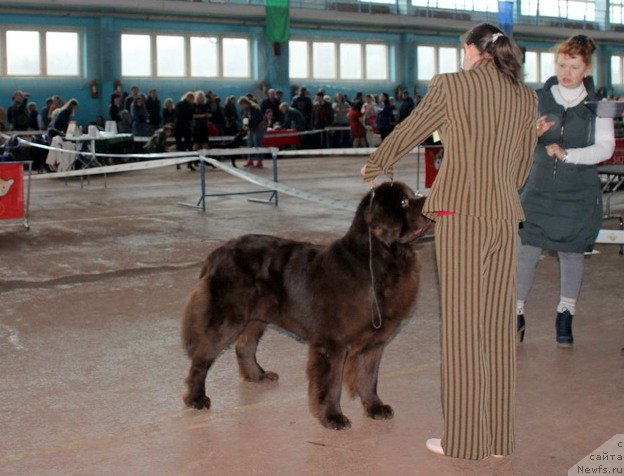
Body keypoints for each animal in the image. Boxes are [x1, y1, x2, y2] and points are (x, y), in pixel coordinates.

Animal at [183, 180, 432, 430]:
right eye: (404, 201)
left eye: (412, 194)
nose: (430, 201)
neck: (380, 261)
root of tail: (216, 254)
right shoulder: (332, 343)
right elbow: (332, 383)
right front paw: (333, 417)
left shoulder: (374, 342)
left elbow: (369, 377)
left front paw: (375, 408)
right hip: (228, 318)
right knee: (202, 356)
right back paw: (196, 398)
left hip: (257, 317)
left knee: (245, 346)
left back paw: (258, 376)